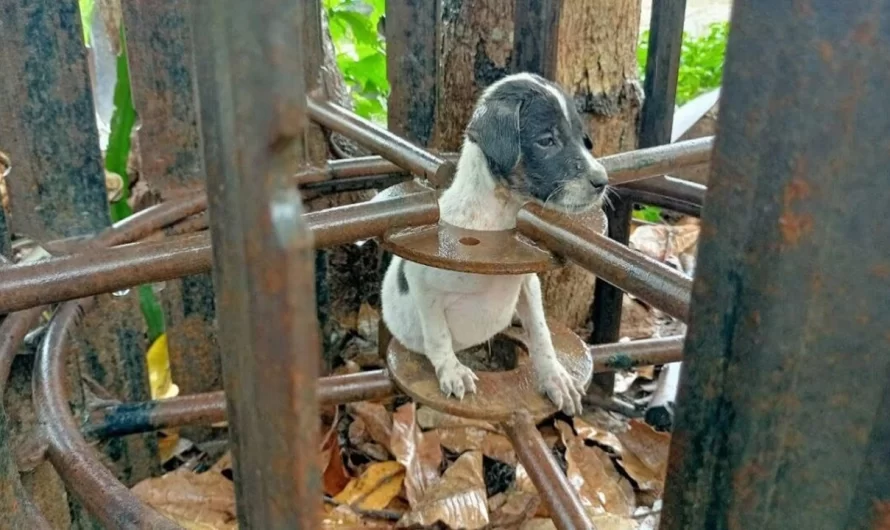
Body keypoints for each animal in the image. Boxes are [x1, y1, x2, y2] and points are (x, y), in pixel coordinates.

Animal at [378, 72, 608, 414]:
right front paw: (452, 369)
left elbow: (541, 332)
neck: (498, 216)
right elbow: (438, 333)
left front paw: (555, 377)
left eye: (583, 139)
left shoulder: (527, 281)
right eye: (546, 140)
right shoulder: (424, 281)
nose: (602, 182)